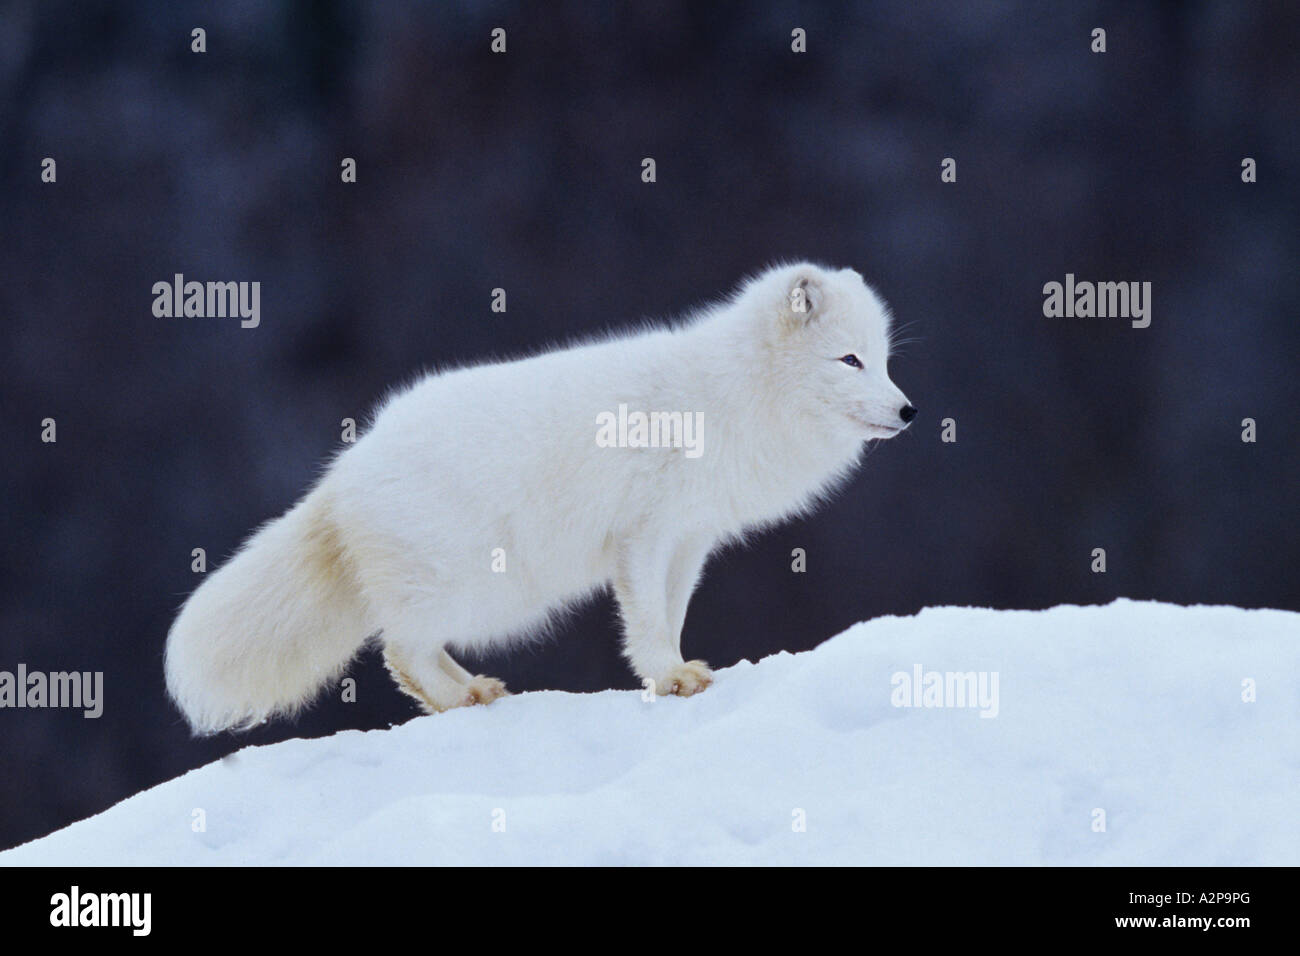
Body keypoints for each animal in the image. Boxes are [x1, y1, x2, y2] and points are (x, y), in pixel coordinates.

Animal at [164, 262, 916, 734]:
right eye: (849, 360)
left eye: (883, 361)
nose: (909, 412)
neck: (726, 397)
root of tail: (344, 471)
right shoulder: (643, 534)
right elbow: (645, 620)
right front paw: (668, 679)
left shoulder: (689, 538)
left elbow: (670, 616)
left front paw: (673, 673)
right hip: (473, 586)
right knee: (401, 651)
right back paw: (458, 698)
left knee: (414, 651)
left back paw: (473, 693)